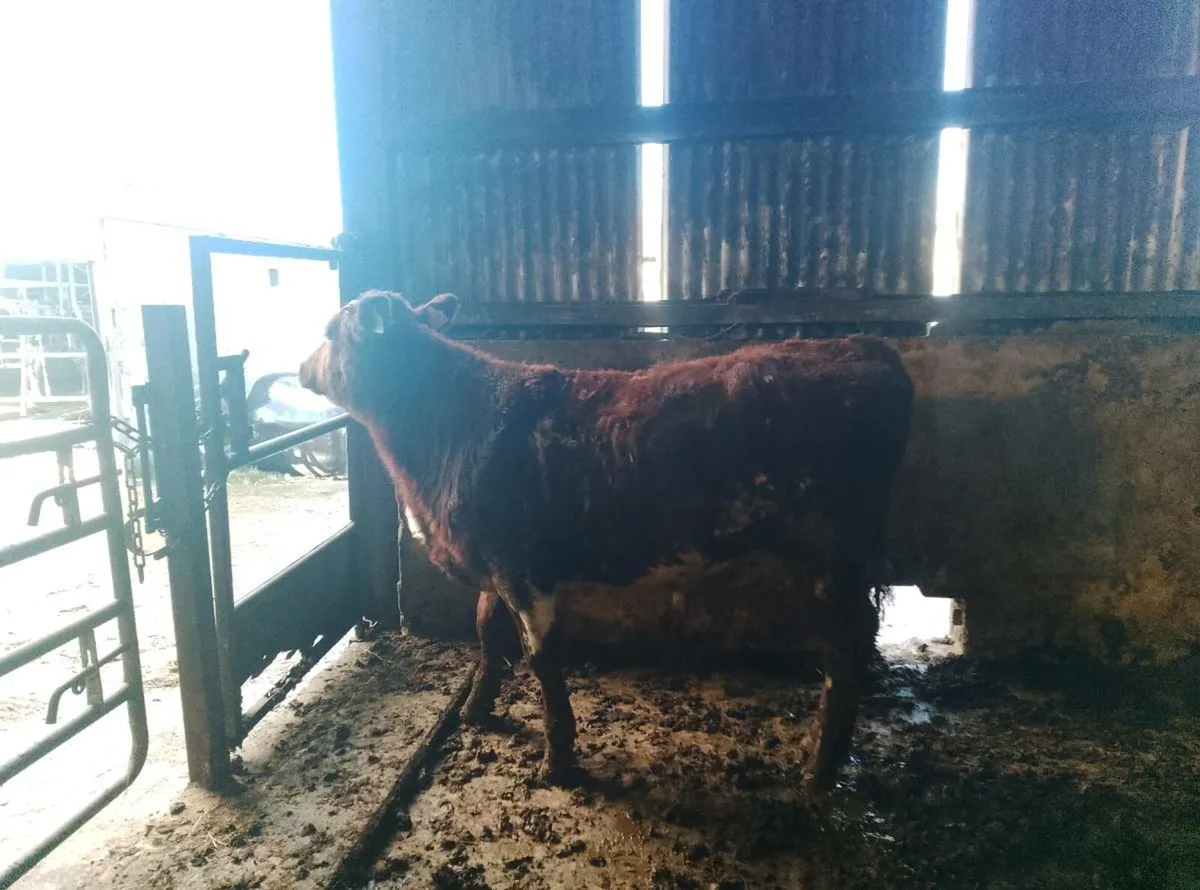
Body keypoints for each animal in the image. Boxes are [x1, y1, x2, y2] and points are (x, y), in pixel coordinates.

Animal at [299, 291, 914, 792]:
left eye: (330, 329)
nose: (302, 366)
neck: (449, 423)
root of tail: (860, 347)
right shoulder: (494, 564)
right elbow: (486, 633)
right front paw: (477, 711)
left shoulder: (525, 570)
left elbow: (543, 662)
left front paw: (558, 763)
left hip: (830, 553)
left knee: (847, 646)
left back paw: (821, 767)